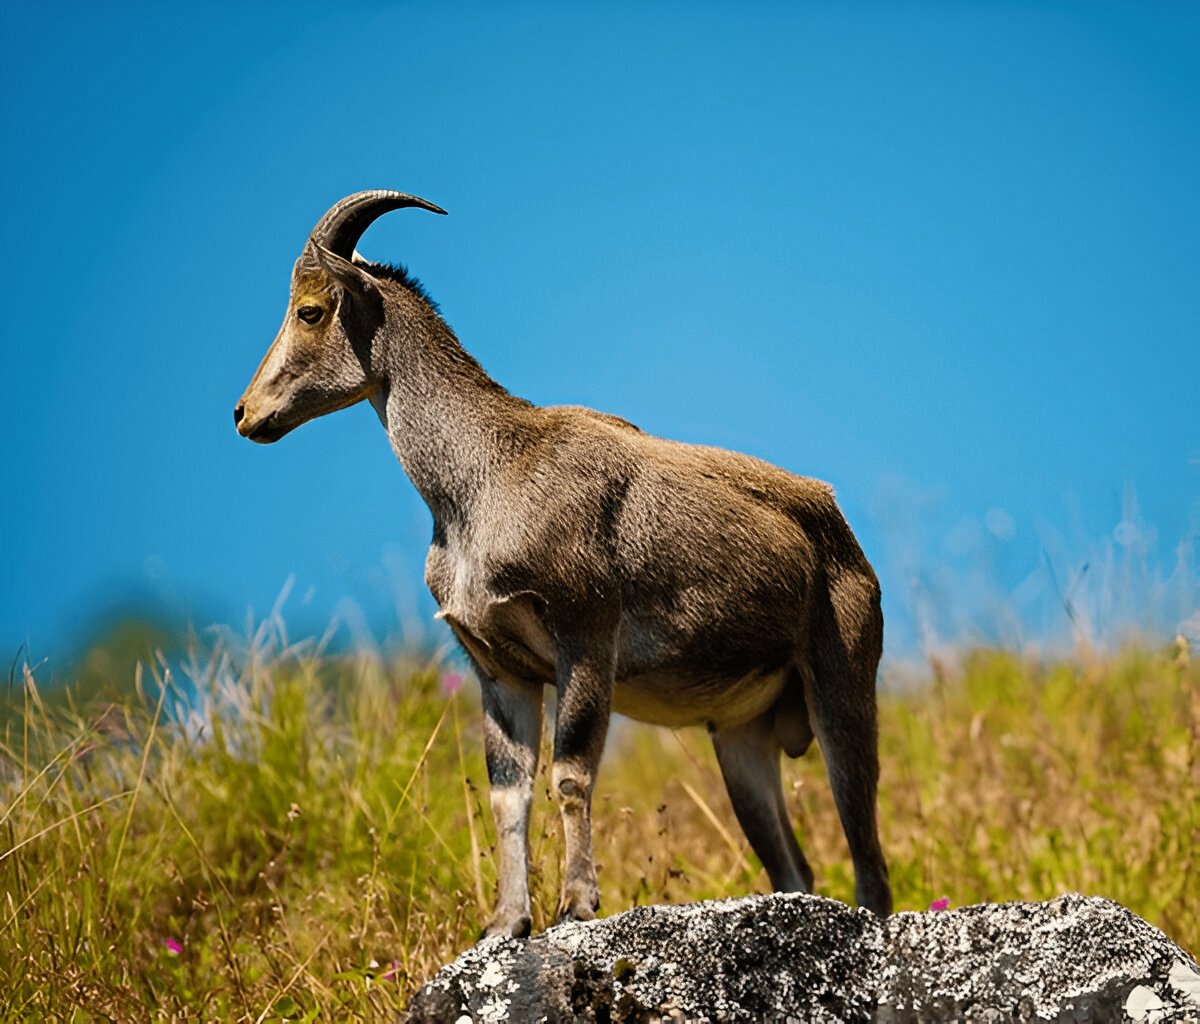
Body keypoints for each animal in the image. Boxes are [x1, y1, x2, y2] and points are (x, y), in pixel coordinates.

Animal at [234, 187, 892, 931]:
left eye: (311, 310)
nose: (246, 413)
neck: (485, 481)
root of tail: (845, 538)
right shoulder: (501, 669)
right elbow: (509, 794)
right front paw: (507, 920)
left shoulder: (585, 639)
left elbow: (572, 773)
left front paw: (577, 904)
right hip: (741, 739)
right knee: (794, 869)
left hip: (842, 691)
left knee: (869, 861)